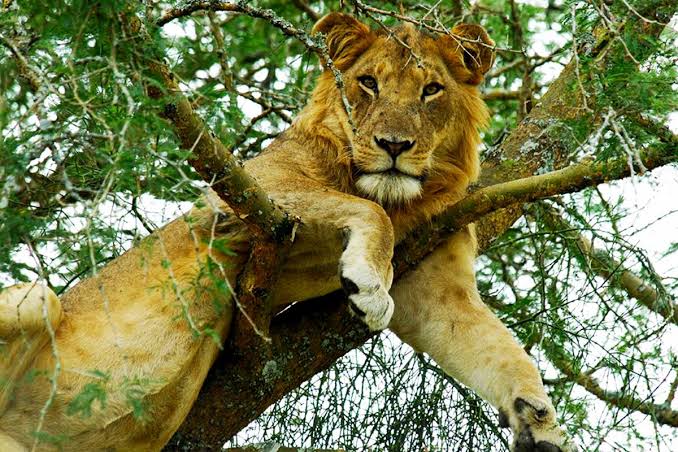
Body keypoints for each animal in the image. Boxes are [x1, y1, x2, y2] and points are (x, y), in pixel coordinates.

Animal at [0, 13, 574, 452]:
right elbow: (369, 215)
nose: (393, 145)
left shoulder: (435, 287)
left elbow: (497, 349)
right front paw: (369, 286)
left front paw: (540, 420)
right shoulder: (247, 194)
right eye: (368, 83)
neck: (403, 199)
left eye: (431, 90)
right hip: (37, 299)